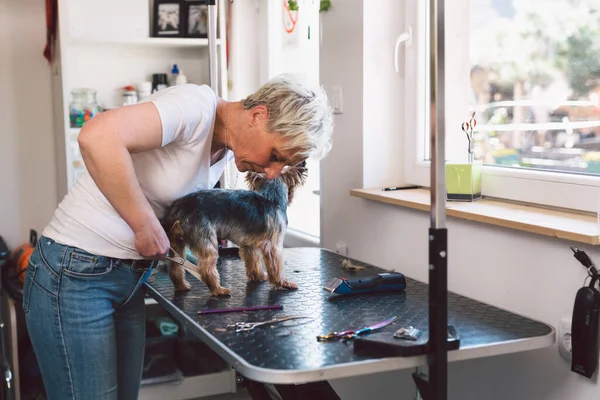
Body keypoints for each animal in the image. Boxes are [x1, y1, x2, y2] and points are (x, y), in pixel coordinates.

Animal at [161, 161, 308, 296]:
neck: (271, 198)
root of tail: (179, 209)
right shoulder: (273, 245)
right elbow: (276, 266)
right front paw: (282, 283)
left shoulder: (250, 245)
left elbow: (254, 261)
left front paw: (259, 276)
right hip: (205, 238)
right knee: (207, 269)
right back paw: (219, 290)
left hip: (176, 242)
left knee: (175, 266)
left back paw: (181, 285)